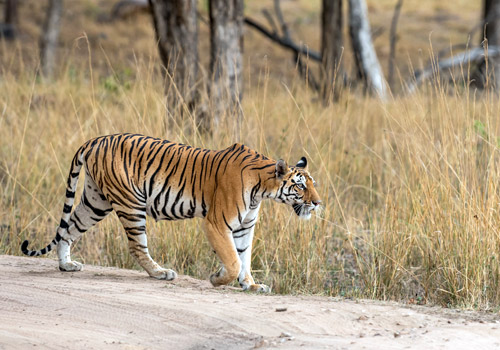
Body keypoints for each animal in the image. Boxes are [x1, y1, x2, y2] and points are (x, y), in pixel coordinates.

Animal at [20, 133, 320, 292]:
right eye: (300, 186)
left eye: (313, 184)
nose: (317, 203)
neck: (262, 189)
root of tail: (97, 139)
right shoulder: (216, 223)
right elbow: (233, 260)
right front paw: (218, 278)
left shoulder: (245, 227)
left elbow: (244, 257)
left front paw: (251, 285)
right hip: (131, 204)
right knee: (136, 246)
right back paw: (160, 272)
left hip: (96, 202)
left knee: (68, 229)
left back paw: (66, 265)